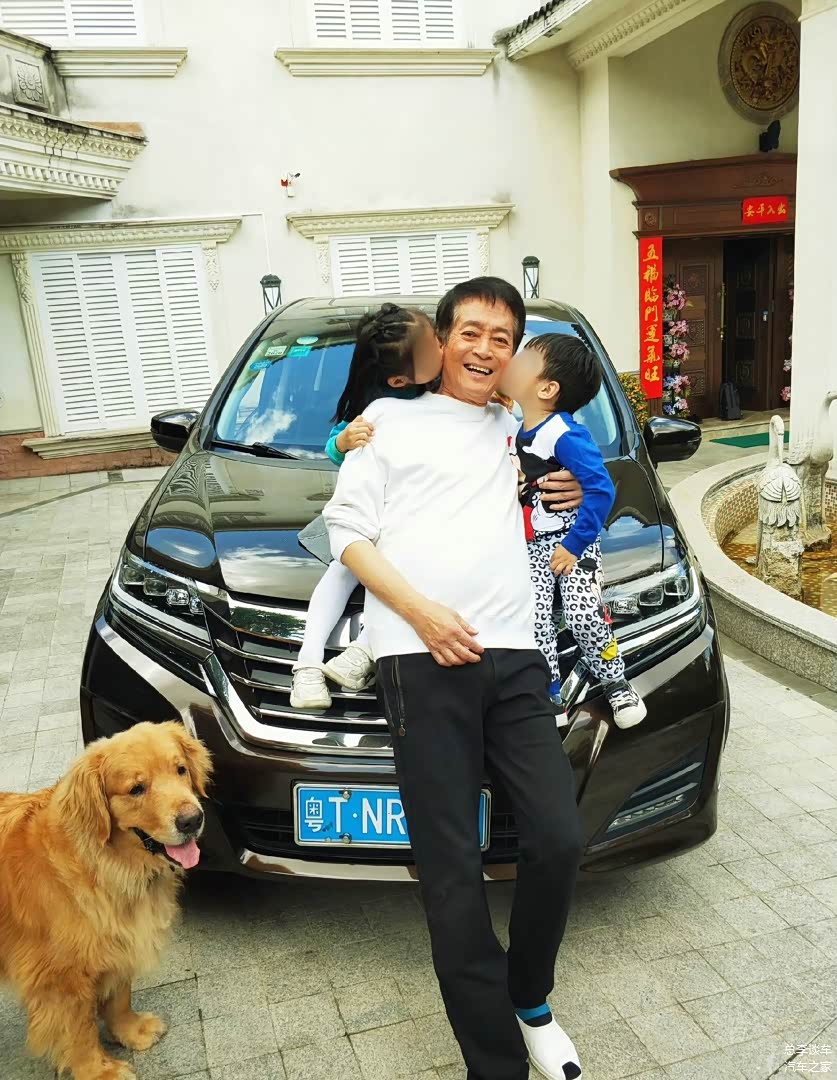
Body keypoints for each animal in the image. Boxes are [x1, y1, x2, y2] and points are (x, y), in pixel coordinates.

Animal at [0, 720, 212, 1080]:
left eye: (180, 769)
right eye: (136, 789)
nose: (191, 820)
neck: (107, 864)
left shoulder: (118, 939)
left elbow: (119, 996)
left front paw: (130, 1030)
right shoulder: (62, 979)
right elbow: (80, 1029)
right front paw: (98, 1070)